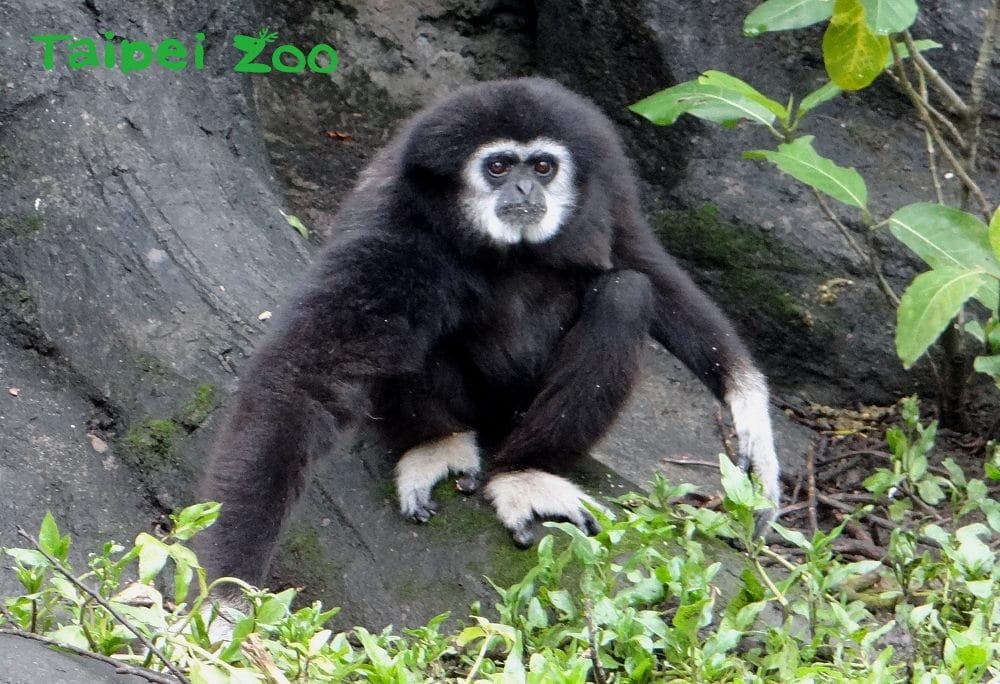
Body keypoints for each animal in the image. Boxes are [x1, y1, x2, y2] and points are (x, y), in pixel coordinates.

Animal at [196, 77, 780, 588]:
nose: (524, 186)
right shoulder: (393, 219)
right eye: (498, 166)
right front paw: (226, 590)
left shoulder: (607, 184)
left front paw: (747, 406)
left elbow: (643, 263)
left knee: (626, 293)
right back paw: (441, 443)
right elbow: (309, 373)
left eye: (542, 166)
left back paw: (523, 471)